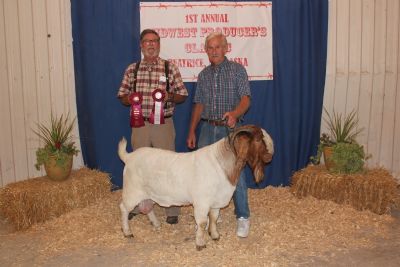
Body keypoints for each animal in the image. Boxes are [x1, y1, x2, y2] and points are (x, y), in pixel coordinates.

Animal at [119, 125, 274, 251]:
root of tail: (128, 156)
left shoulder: (216, 201)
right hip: (132, 191)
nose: (270, 155)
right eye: (259, 139)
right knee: (124, 208)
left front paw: (215, 235)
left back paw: (156, 224)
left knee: (147, 206)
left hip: (148, 193)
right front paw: (200, 243)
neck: (222, 164)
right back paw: (127, 232)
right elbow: (202, 222)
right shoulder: (202, 202)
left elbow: (214, 218)